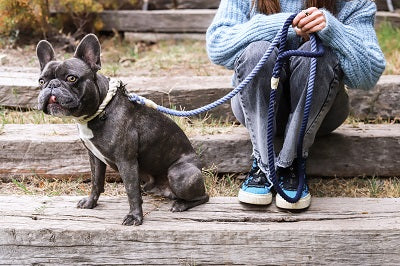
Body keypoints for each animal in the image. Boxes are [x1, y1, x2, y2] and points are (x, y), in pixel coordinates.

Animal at [36, 33, 209, 224]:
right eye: (41, 81)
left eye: (71, 78)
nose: (52, 85)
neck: (100, 110)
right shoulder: (94, 157)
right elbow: (96, 182)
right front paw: (90, 203)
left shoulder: (126, 161)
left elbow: (131, 191)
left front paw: (134, 216)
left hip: (178, 174)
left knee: (203, 197)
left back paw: (181, 204)